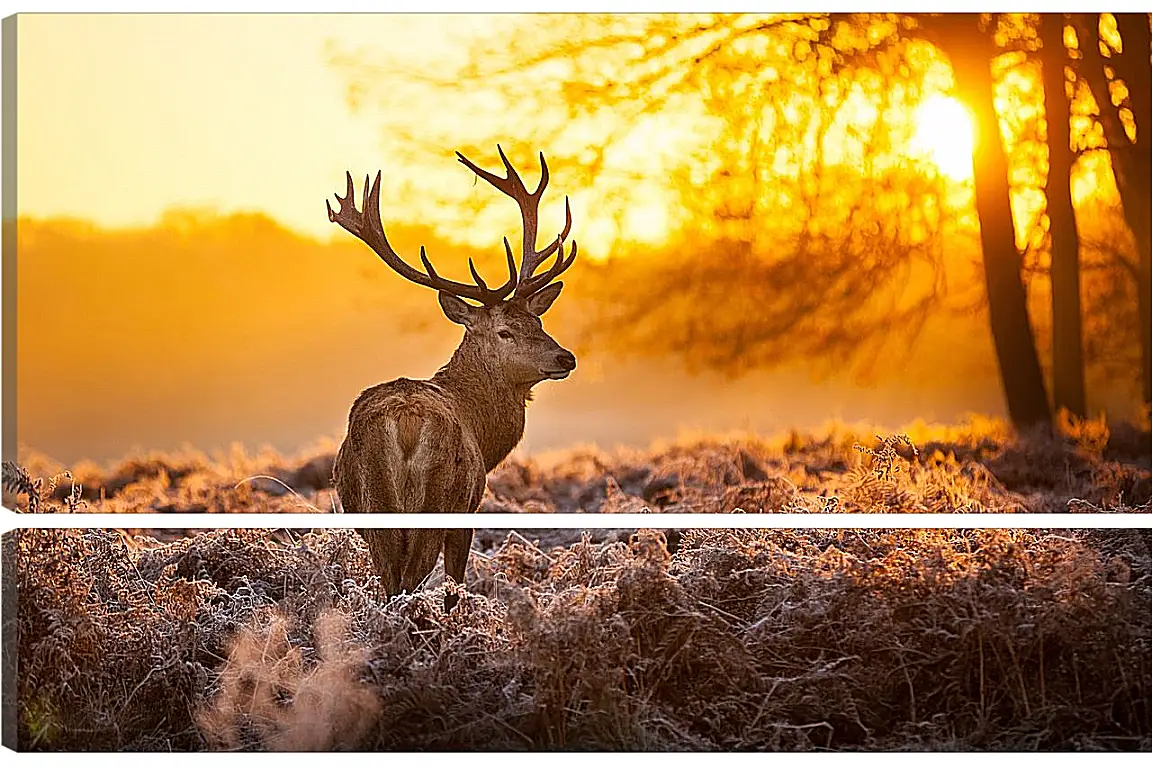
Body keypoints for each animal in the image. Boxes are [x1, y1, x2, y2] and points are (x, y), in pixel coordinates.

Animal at [324, 147, 576, 607]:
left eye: (538, 321)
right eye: (505, 331)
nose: (565, 357)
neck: (483, 431)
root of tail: (405, 422)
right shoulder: (470, 506)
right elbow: (455, 582)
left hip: (373, 504)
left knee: (391, 582)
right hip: (439, 497)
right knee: (410, 579)